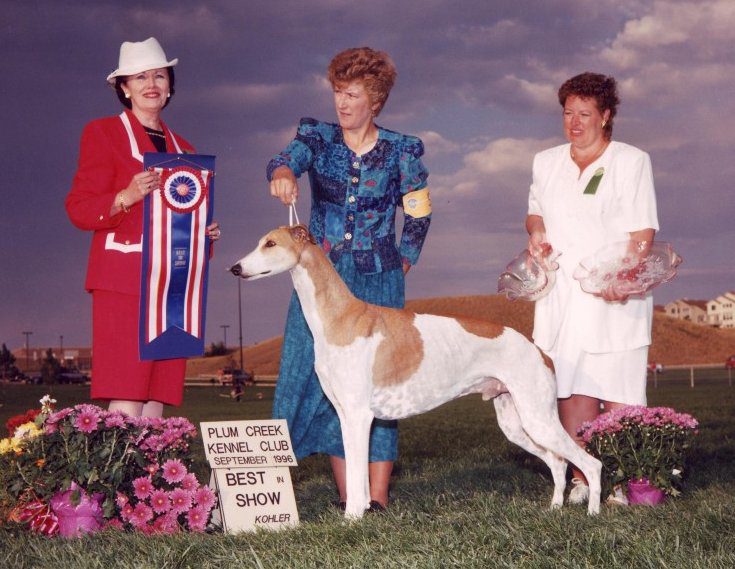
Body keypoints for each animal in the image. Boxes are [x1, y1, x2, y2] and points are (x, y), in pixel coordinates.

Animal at [231, 224, 604, 516]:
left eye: (270, 244)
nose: (234, 268)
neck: (340, 316)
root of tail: (538, 350)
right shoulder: (345, 416)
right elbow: (354, 474)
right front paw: (358, 511)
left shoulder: (359, 416)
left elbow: (357, 474)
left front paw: (352, 518)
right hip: (518, 423)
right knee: (557, 462)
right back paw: (553, 508)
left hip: (538, 418)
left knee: (590, 463)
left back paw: (593, 512)